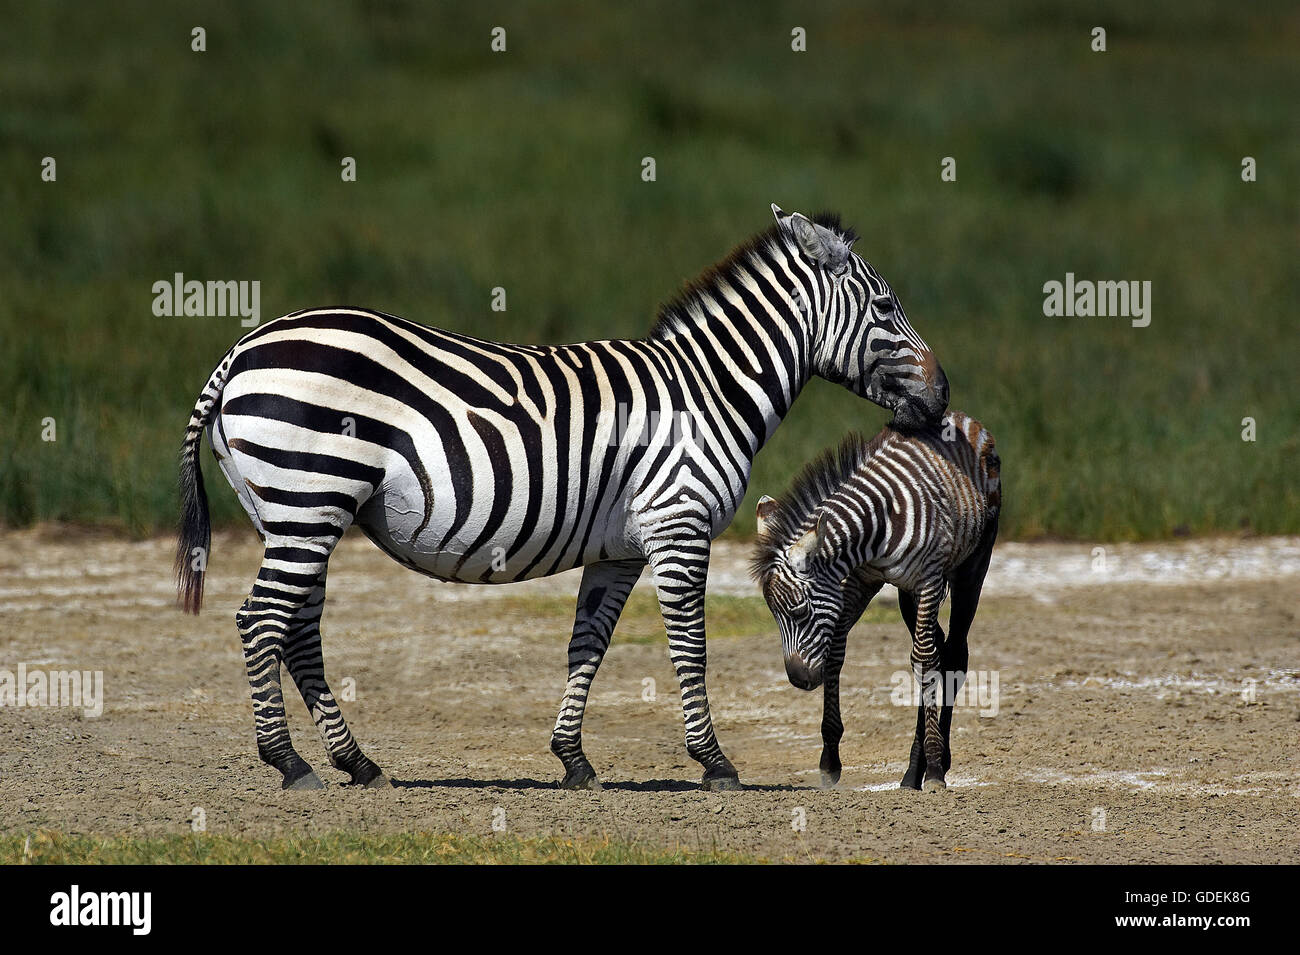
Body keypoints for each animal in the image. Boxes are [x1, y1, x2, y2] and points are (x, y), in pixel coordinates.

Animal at [175, 207, 946, 789]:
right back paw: (289, 762)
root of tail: (239, 351)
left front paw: (572, 758)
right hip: (309, 500)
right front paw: (714, 761)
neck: (706, 392)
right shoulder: (680, 525)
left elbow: (588, 644)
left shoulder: (621, 549)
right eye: (885, 306)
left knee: (297, 628)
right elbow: (689, 647)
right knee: (260, 620)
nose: (942, 396)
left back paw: (355, 762)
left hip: (294, 511)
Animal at [748, 410, 998, 789]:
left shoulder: (928, 579)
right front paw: (830, 759)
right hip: (907, 594)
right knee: (936, 646)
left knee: (951, 652)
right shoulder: (857, 582)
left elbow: (924, 660)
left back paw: (935, 762)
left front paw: (934, 768)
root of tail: (961, 416)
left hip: (972, 563)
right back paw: (913, 770)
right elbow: (836, 654)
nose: (798, 680)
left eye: (800, 610)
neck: (875, 528)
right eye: (774, 615)